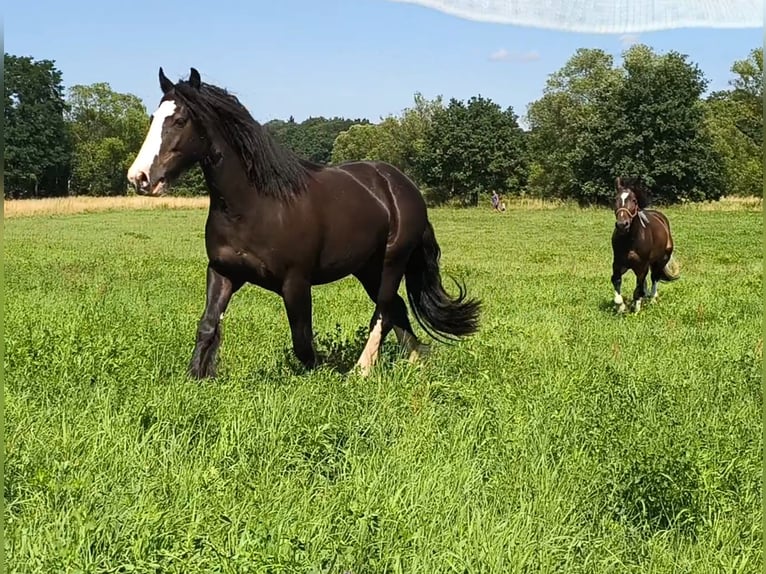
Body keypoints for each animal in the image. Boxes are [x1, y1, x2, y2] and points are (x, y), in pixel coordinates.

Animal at [126, 67, 481, 379]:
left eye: (179, 120)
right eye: (154, 118)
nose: (139, 178)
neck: (254, 205)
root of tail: (402, 185)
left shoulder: (295, 282)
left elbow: (302, 342)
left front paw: (324, 372)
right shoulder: (223, 272)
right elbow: (208, 325)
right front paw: (197, 377)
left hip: (392, 262)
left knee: (383, 311)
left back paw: (361, 371)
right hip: (367, 268)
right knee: (397, 309)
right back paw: (416, 363)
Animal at [610, 176, 680, 313]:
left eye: (634, 200)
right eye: (615, 199)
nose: (622, 225)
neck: (630, 241)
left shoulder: (642, 265)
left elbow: (638, 288)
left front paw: (636, 309)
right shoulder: (618, 264)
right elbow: (616, 280)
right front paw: (620, 306)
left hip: (661, 259)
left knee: (654, 278)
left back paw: (652, 298)